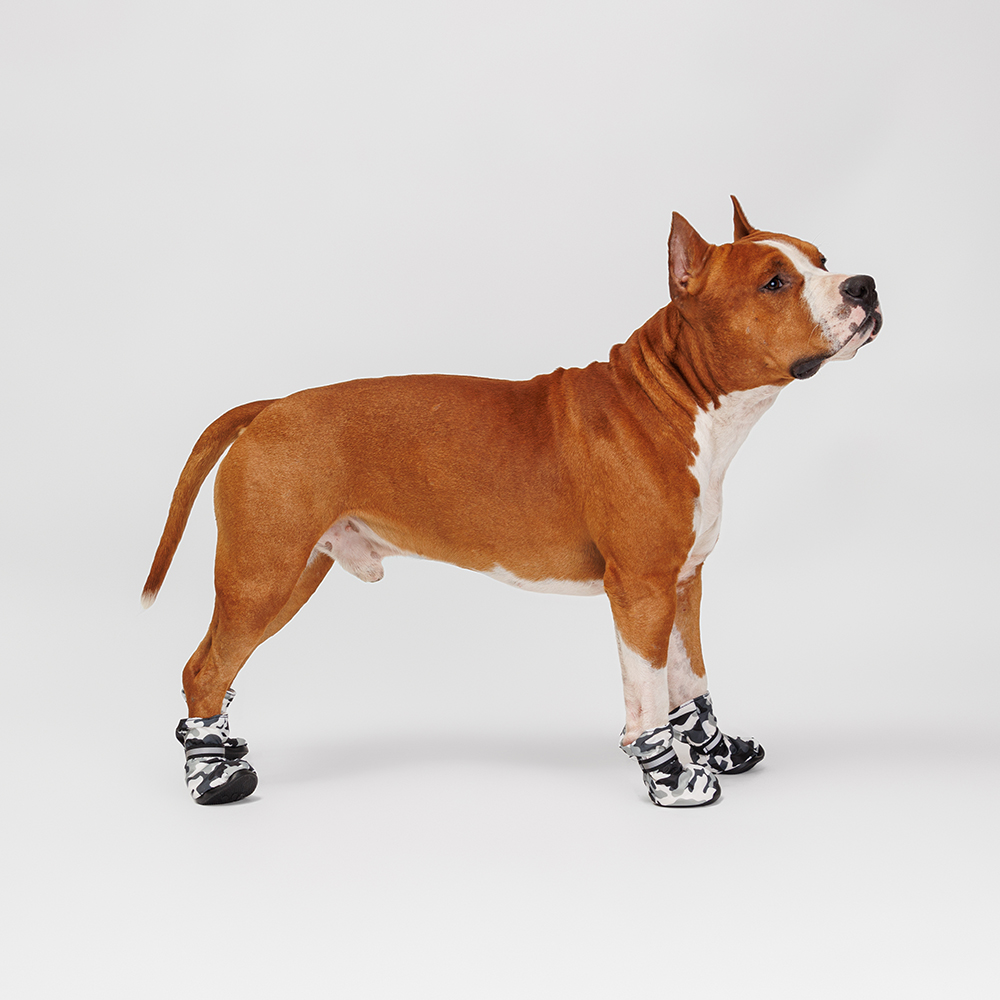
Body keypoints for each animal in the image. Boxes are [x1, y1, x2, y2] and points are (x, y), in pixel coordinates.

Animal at [143, 197, 881, 806]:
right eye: (775, 283)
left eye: (820, 260)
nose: (864, 285)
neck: (677, 398)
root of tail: (270, 406)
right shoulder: (641, 591)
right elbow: (645, 695)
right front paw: (671, 781)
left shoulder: (684, 583)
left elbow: (688, 679)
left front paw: (716, 751)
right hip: (262, 574)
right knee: (206, 669)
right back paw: (215, 779)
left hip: (290, 575)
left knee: (211, 662)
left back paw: (221, 755)